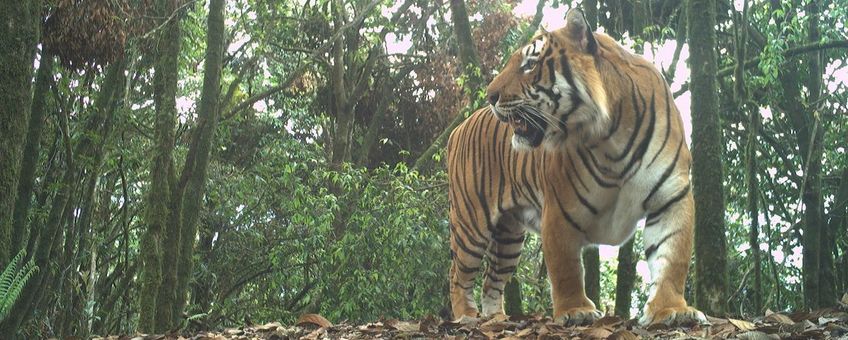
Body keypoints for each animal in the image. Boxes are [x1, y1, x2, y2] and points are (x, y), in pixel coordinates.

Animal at [448, 8, 704, 326]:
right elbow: (565, 267)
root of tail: (457, 129)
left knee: (490, 281)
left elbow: (672, 257)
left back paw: (496, 319)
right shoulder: (560, 209)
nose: (490, 95)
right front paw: (575, 311)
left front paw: (671, 310)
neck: (612, 137)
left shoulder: (671, 197)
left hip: (508, 237)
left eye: (530, 64)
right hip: (471, 223)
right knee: (458, 275)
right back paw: (466, 316)